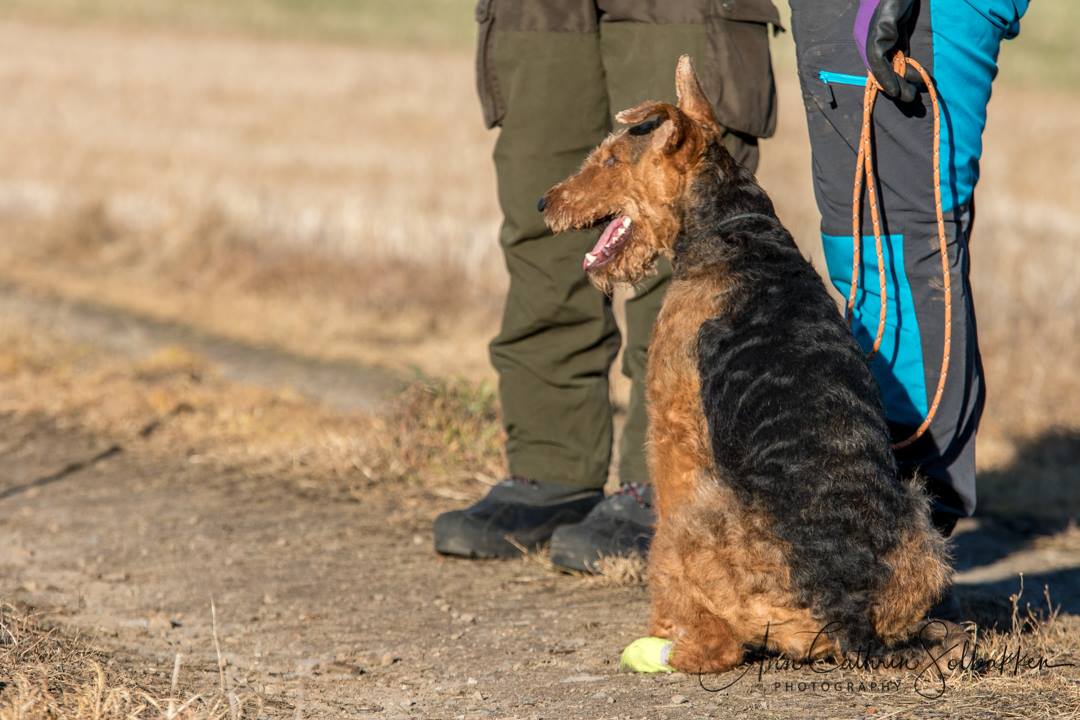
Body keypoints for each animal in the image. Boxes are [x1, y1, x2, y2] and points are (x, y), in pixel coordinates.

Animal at [541, 56, 961, 672]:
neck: (733, 230)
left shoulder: (672, 427)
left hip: (699, 522)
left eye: (614, 159)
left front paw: (661, 620)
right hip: (921, 524)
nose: (545, 203)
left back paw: (670, 646)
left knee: (719, 644)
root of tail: (848, 612)